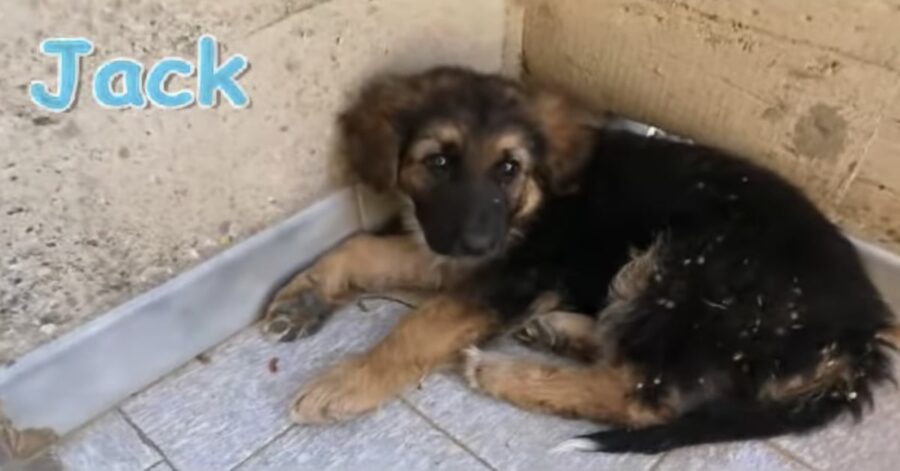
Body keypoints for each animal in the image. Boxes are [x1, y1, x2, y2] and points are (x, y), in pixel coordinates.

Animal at [264, 66, 896, 454]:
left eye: (509, 168)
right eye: (437, 162)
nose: (479, 242)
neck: (536, 199)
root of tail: (859, 340)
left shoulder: (513, 271)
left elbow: (420, 327)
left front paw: (346, 383)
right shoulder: (461, 252)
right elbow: (361, 246)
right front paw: (305, 295)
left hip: (693, 265)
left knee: (643, 396)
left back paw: (504, 371)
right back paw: (562, 332)